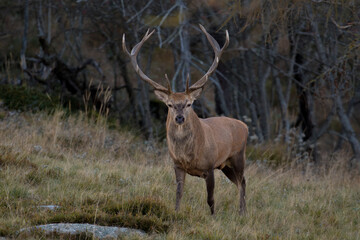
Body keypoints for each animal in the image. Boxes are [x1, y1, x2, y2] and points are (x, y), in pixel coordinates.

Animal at [122, 24, 249, 216]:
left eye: (189, 103)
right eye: (170, 104)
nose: (180, 117)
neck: (189, 155)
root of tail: (245, 126)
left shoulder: (210, 165)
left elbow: (210, 198)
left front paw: (213, 217)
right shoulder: (177, 166)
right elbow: (178, 194)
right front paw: (176, 212)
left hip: (237, 156)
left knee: (242, 182)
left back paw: (242, 212)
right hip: (225, 165)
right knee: (241, 182)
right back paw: (243, 211)